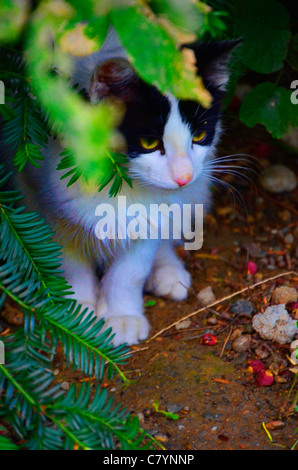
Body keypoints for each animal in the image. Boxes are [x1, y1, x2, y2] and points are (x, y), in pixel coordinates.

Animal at [15, 28, 240, 346]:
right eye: (149, 142)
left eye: (199, 135)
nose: (184, 176)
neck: (119, 188)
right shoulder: (43, 200)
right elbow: (68, 263)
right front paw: (78, 316)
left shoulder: (153, 216)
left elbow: (130, 270)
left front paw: (121, 316)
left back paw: (168, 270)